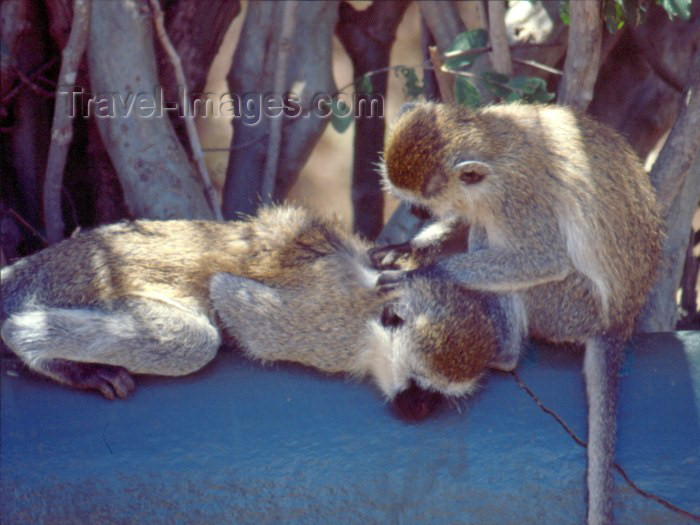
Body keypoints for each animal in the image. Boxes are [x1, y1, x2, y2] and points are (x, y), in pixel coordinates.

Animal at [0, 205, 520, 418]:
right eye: (417, 385)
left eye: (437, 395)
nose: (418, 412)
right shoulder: (327, 333)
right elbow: (226, 294)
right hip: (75, 284)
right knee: (193, 342)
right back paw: (44, 352)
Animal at [374, 102, 664, 524]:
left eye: (423, 200)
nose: (413, 211)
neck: (493, 143)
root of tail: (619, 321)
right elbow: (465, 216)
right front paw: (409, 247)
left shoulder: (516, 201)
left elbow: (544, 258)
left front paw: (419, 275)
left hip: (569, 308)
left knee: (498, 250)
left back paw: (504, 356)